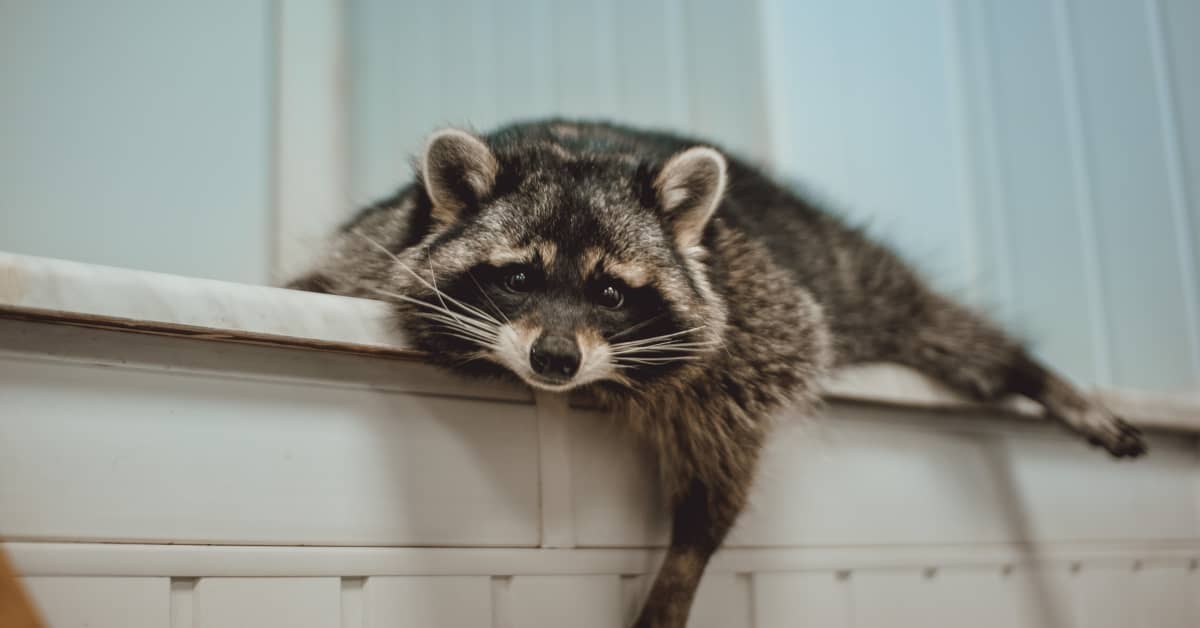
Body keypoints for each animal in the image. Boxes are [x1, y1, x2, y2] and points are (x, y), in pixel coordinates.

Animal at [288, 119, 1146, 628]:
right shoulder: (370, 250)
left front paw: (684, 563)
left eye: (610, 292)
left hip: (848, 272)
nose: (554, 359)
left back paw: (1032, 373)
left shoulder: (757, 326)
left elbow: (723, 464)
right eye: (519, 279)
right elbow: (323, 276)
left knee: (942, 325)